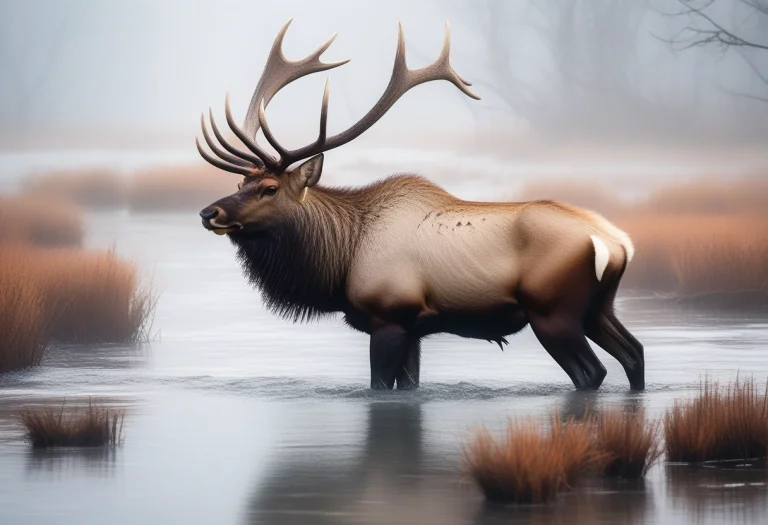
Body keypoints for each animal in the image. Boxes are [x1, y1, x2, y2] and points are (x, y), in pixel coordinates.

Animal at [196, 19, 645, 391]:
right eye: (241, 181)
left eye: (270, 188)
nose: (209, 212)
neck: (342, 256)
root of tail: (616, 243)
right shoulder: (414, 328)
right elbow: (408, 387)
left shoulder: (390, 316)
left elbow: (380, 387)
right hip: (598, 308)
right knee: (634, 354)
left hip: (553, 311)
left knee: (591, 372)